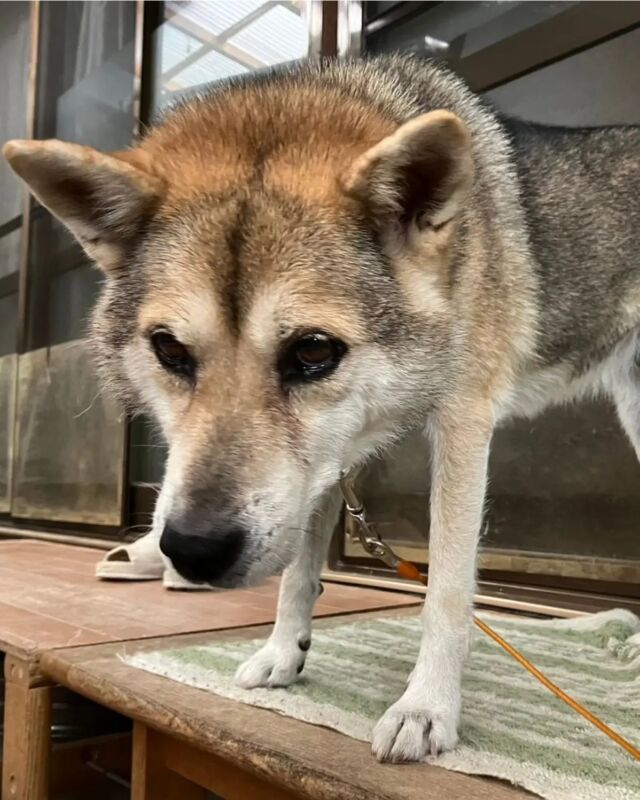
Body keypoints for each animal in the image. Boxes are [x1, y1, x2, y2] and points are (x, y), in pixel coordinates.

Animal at [5, 54, 640, 764]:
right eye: (168, 349)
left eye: (312, 350)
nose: (193, 551)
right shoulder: (327, 459)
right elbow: (297, 572)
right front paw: (284, 654)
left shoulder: (463, 426)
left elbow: (446, 588)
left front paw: (427, 708)